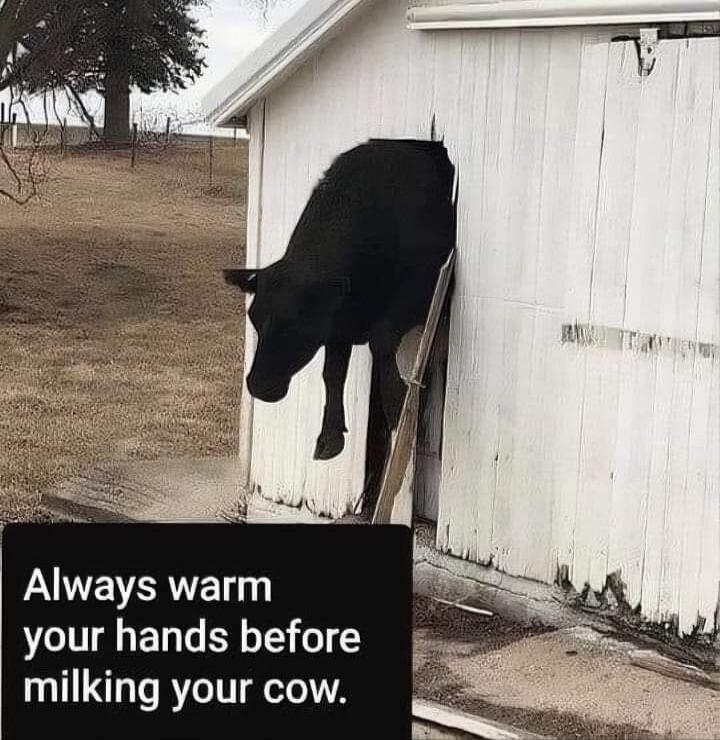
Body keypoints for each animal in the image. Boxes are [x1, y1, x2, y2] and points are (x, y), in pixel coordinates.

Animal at [224, 138, 456, 462]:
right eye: (254, 317)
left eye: (298, 325)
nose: (259, 385)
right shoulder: (338, 323)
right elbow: (331, 373)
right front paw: (331, 435)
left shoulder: (426, 284)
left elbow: (381, 338)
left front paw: (398, 408)